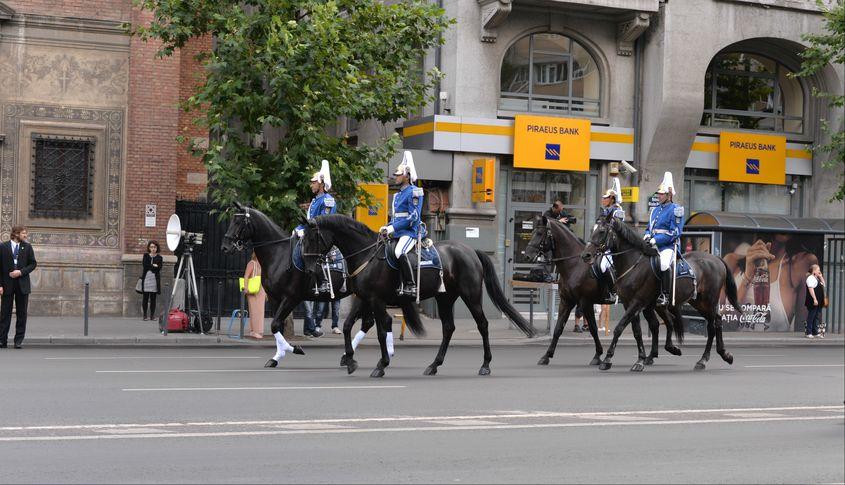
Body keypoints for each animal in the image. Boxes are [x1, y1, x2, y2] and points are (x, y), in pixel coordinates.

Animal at [221, 203, 386, 366]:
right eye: (232, 221)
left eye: (238, 222)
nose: (225, 247)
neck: (279, 255)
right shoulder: (274, 298)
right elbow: (278, 327)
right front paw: (277, 357)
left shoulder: (291, 298)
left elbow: (275, 325)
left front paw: (294, 349)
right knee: (368, 322)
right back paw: (347, 355)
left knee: (368, 322)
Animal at [298, 214, 536, 376]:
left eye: (313, 238)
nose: (308, 269)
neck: (367, 255)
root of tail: (470, 250)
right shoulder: (364, 299)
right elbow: (349, 326)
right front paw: (350, 361)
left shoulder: (376, 300)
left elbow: (381, 330)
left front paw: (381, 364)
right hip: (445, 298)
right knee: (448, 328)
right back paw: (434, 365)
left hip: (471, 296)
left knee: (482, 325)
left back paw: (485, 365)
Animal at [524, 216, 676, 366]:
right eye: (533, 232)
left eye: (539, 233)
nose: (527, 256)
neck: (575, 265)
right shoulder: (566, 301)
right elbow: (558, 329)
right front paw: (546, 356)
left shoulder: (585, 302)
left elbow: (593, 328)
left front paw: (598, 355)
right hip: (648, 305)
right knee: (657, 324)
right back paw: (654, 355)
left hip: (652, 304)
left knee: (667, 320)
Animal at [580, 213, 740, 370]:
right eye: (592, 230)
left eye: (602, 231)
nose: (586, 255)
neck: (633, 264)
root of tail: (716, 258)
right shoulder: (629, 303)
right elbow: (637, 331)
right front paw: (641, 359)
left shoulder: (637, 302)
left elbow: (619, 328)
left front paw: (608, 359)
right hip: (698, 302)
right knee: (709, 323)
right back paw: (709, 356)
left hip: (709, 300)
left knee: (715, 323)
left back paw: (711, 357)